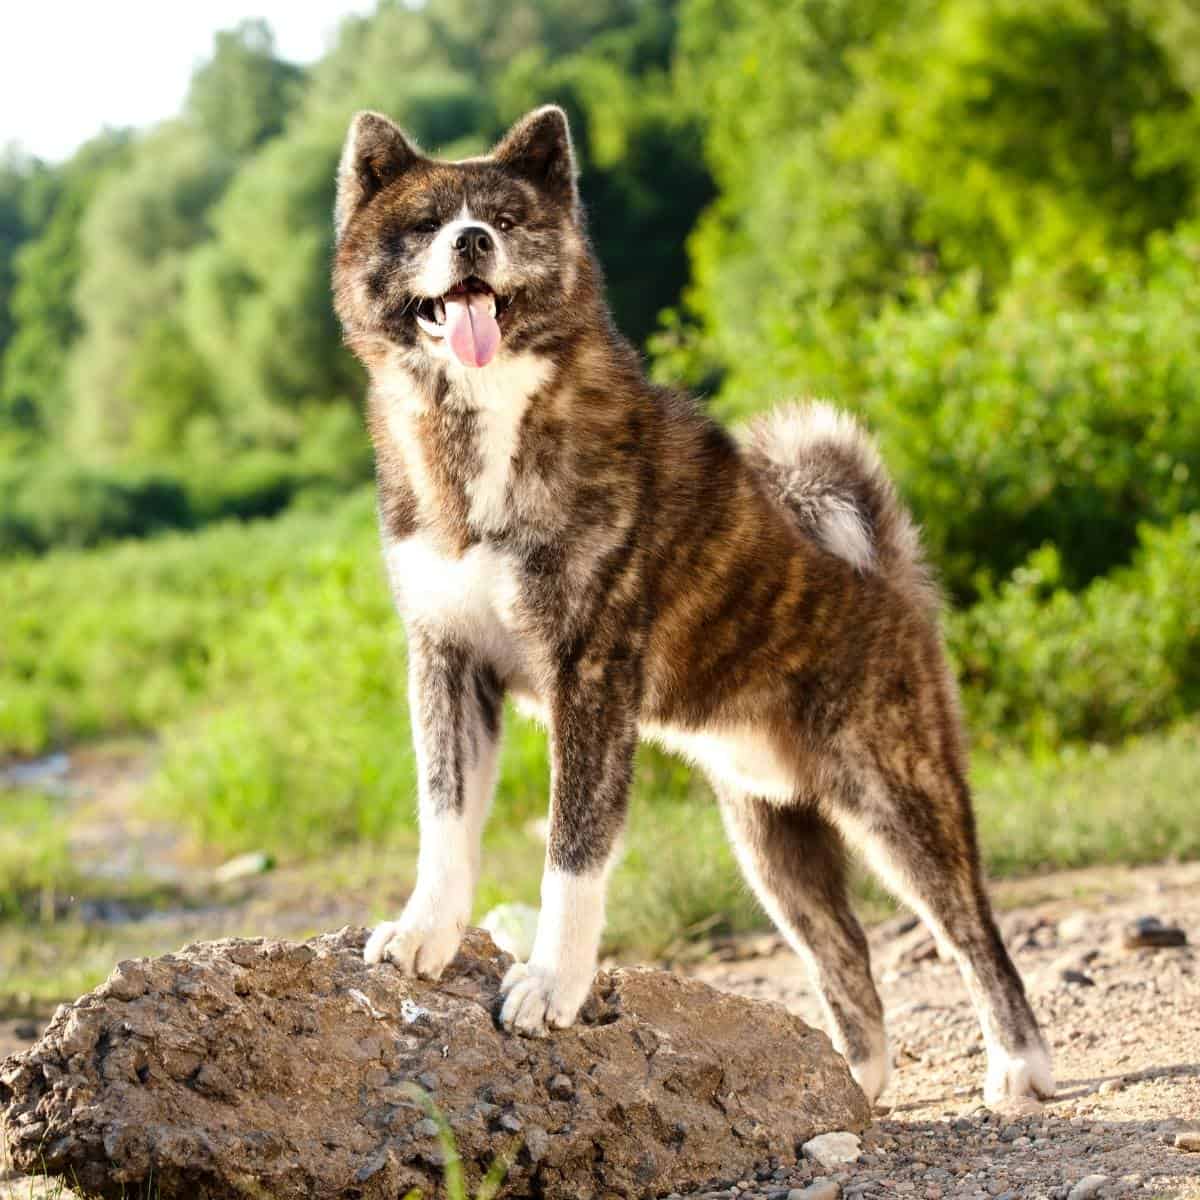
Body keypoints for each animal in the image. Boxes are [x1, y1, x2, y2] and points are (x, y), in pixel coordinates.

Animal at [328, 105, 1051, 1104]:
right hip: (771, 842)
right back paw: (849, 1088)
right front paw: (425, 933)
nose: (471, 241)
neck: (484, 434)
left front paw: (551, 986)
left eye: (507, 221)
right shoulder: (446, 664)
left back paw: (1019, 1067)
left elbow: (572, 856)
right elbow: (444, 822)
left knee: (974, 934)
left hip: (899, 802)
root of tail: (891, 574)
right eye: (426, 223)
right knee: (847, 956)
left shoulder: (589, 681)